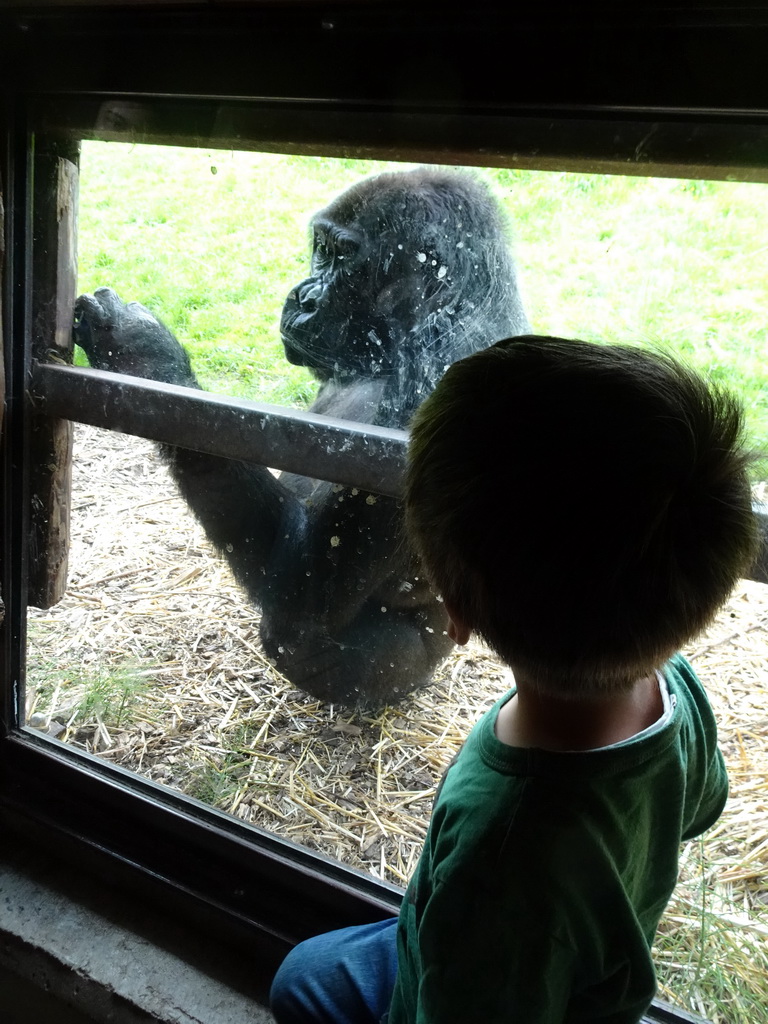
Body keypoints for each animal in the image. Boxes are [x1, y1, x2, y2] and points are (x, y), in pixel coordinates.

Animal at [73, 169, 528, 712]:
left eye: (343, 256)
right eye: (321, 250)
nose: (304, 295)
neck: (452, 311)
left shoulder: (432, 389)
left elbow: (306, 598)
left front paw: (139, 350)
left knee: (298, 635)